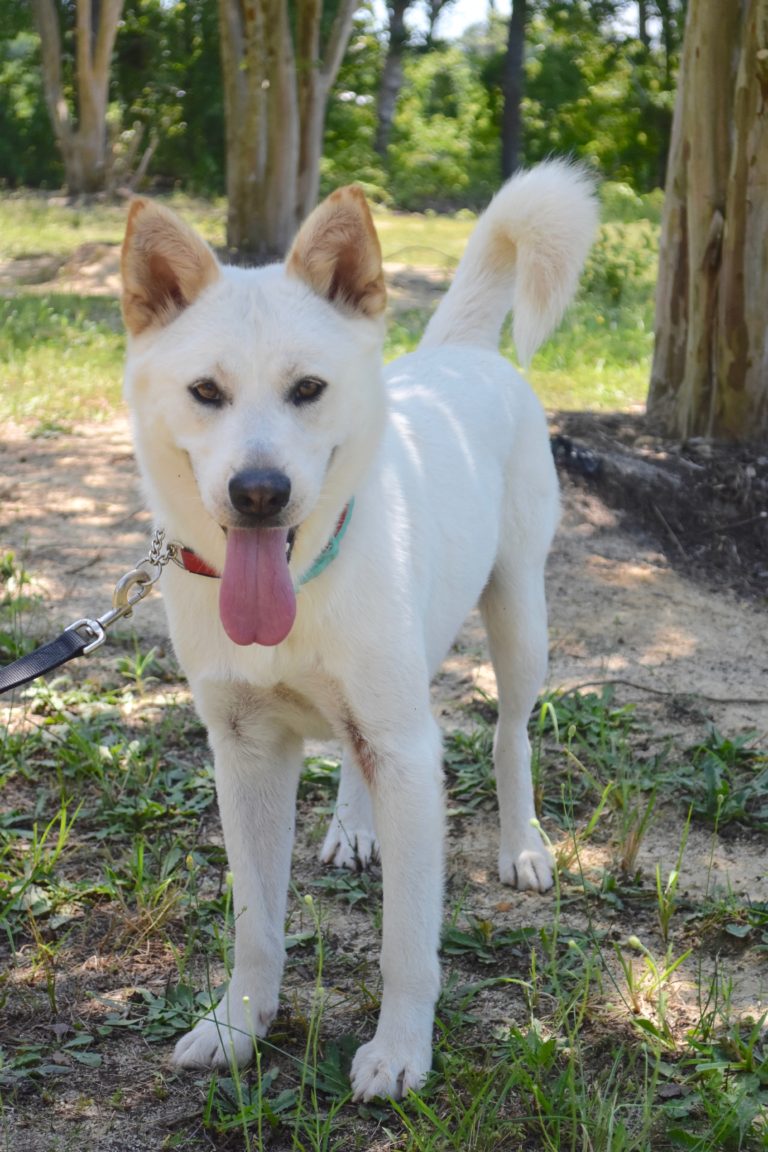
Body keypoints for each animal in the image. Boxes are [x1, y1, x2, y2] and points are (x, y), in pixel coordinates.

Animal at [120, 161, 597, 1101]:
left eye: (308, 389)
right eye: (206, 392)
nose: (258, 492)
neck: (301, 584)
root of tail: (463, 352)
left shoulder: (409, 753)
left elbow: (407, 940)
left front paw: (401, 1051)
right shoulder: (244, 753)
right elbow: (256, 925)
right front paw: (236, 1025)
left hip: (518, 619)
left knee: (510, 734)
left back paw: (522, 844)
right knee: (352, 754)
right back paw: (353, 827)